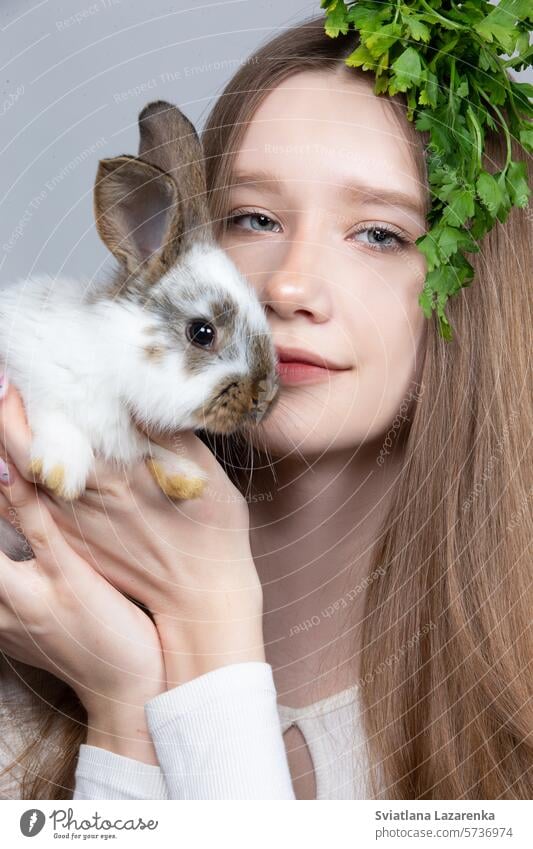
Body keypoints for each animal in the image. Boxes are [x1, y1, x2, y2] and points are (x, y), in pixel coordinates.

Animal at [0, 102, 280, 506]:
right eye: (202, 332)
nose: (265, 397)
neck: (111, 362)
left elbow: (155, 452)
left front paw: (184, 478)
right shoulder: (27, 368)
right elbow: (52, 413)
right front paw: (61, 471)